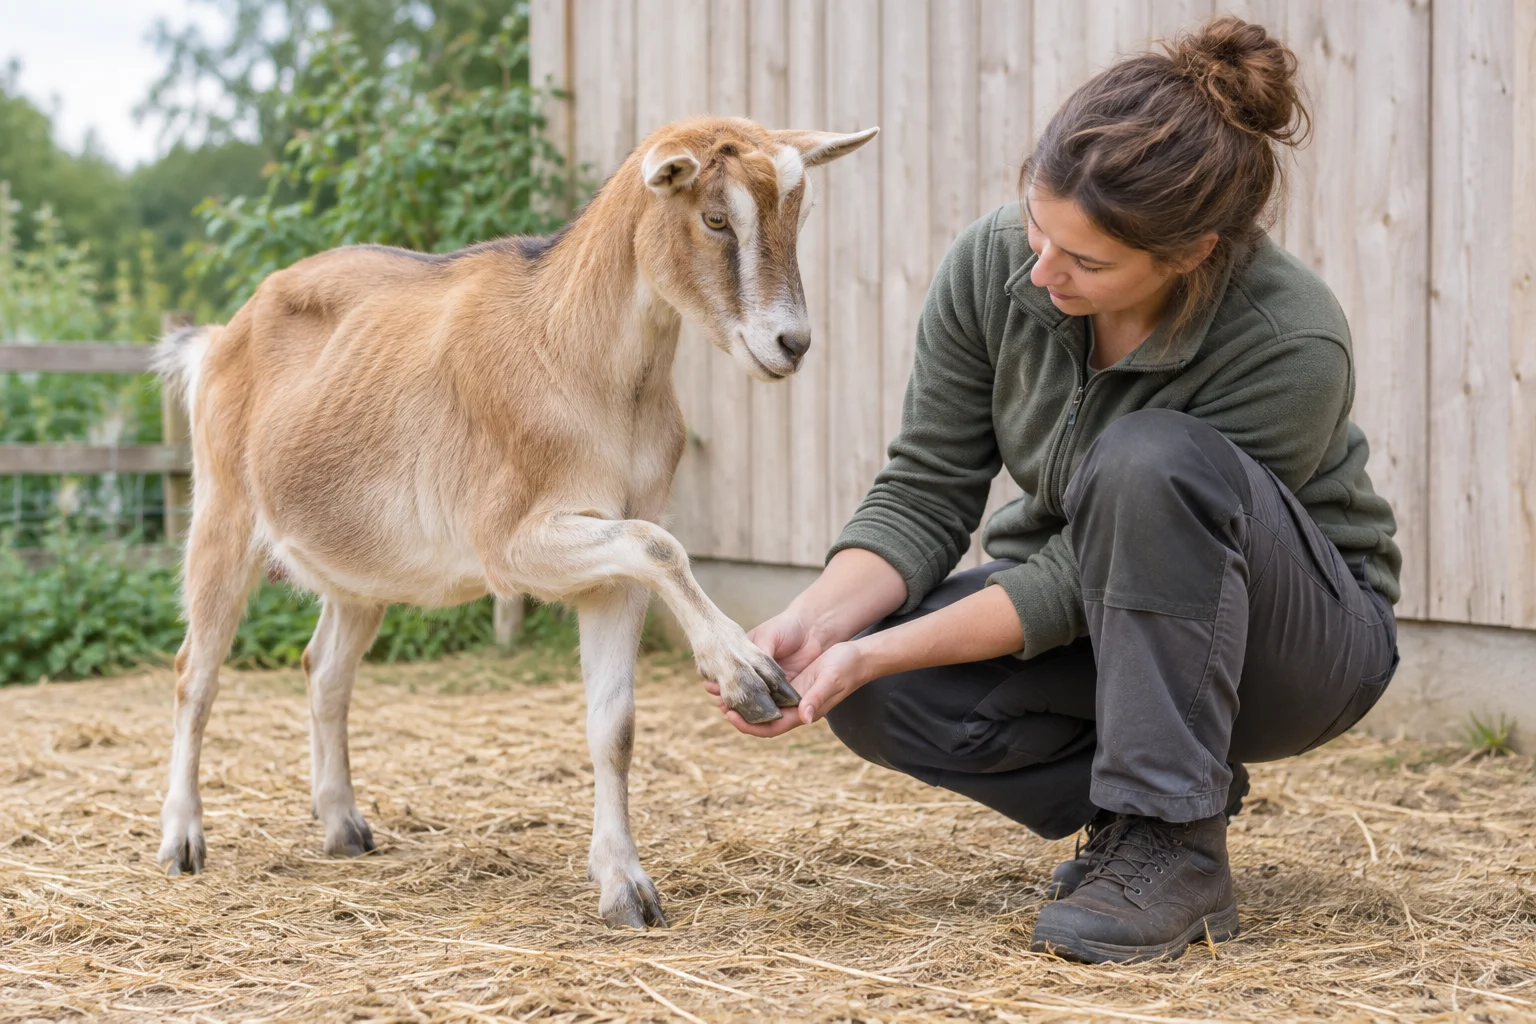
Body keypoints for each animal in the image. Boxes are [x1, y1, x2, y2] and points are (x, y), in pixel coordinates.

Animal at [152, 116, 877, 928]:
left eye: (797, 215)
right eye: (716, 217)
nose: (792, 344)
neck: (574, 355)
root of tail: (220, 336)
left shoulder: (610, 566)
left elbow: (615, 724)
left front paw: (626, 888)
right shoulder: (512, 541)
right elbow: (663, 548)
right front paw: (746, 672)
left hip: (357, 567)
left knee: (325, 671)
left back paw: (344, 827)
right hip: (221, 512)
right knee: (195, 674)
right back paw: (182, 842)